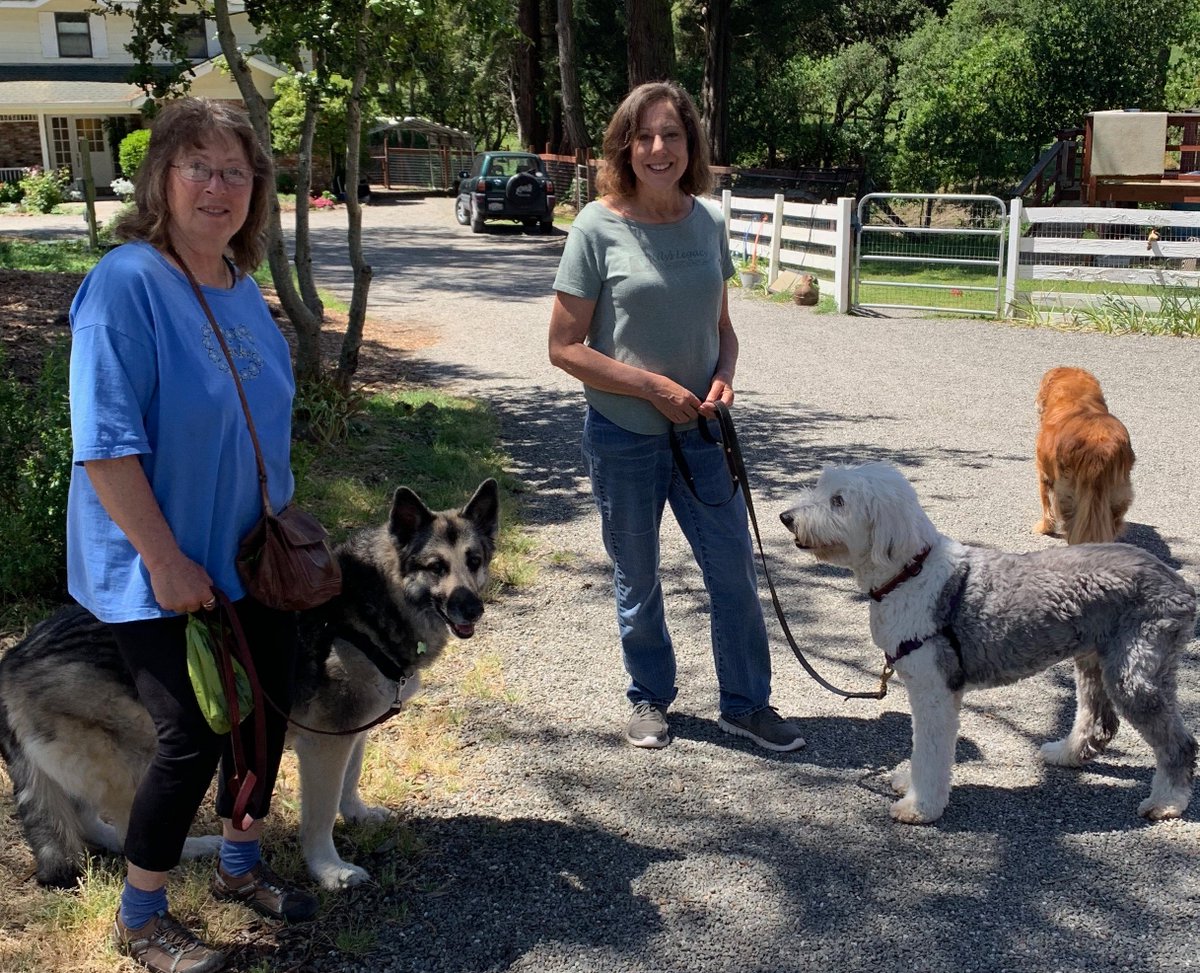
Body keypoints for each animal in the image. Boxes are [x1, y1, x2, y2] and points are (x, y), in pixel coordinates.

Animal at [0, 479, 496, 892]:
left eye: (474, 562)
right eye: (435, 567)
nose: (471, 608)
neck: (380, 599)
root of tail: (14, 657)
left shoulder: (352, 734)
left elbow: (351, 780)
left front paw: (356, 814)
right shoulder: (324, 746)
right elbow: (319, 817)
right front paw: (328, 870)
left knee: (88, 818)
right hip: (140, 757)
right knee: (129, 832)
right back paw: (194, 849)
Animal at [782, 463, 1195, 820]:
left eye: (839, 500)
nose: (786, 517)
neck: (910, 573)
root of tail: (1179, 585)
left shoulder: (935, 689)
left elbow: (930, 751)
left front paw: (920, 806)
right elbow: (919, 749)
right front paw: (908, 783)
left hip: (1135, 668)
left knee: (1179, 743)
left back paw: (1167, 802)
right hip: (1095, 657)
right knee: (1098, 720)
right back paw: (1065, 753)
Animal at [1032, 364, 1132, 547]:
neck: (1078, 400)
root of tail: (1099, 449)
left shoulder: (1044, 473)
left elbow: (1046, 505)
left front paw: (1044, 528)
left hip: (1066, 492)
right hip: (1119, 492)